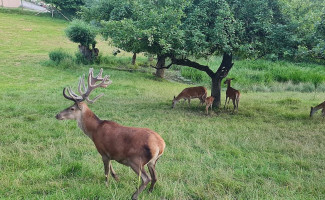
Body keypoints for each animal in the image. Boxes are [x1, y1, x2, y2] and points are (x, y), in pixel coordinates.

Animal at [55, 68, 165, 199]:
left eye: (72, 108)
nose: (57, 115)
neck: (94, 131)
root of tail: (161, 145)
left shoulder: (102, 150)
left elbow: (106, 171)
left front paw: (106, 186)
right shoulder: (110, 152)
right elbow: (111, 167)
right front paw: (116, 178)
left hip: (136, 160)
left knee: (146, 178)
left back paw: (134, 195)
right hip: (152, 162)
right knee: (155, 177)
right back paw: (150, 191)